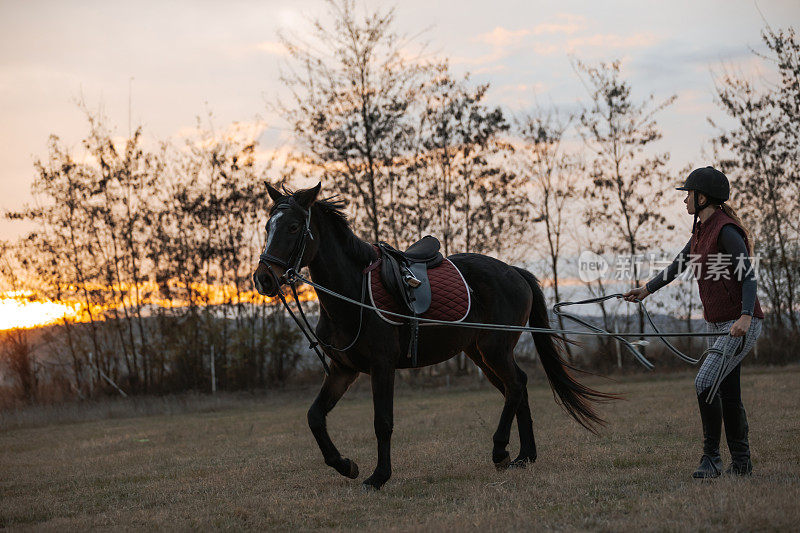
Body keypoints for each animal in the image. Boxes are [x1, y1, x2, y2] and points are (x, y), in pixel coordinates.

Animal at [253, 183, 616, 490]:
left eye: (293, 227)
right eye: (268, 227)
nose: (263, 278)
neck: (354, 293)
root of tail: (515, 272)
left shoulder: (382, 367)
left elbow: (382, 421)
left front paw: (378, 476)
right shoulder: (344, 369)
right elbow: (315, 416)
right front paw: (345, 465)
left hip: (495, 349)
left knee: (516, 385)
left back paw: (501, 450)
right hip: (481, 355)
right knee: (518, 388)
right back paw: (525, 455)